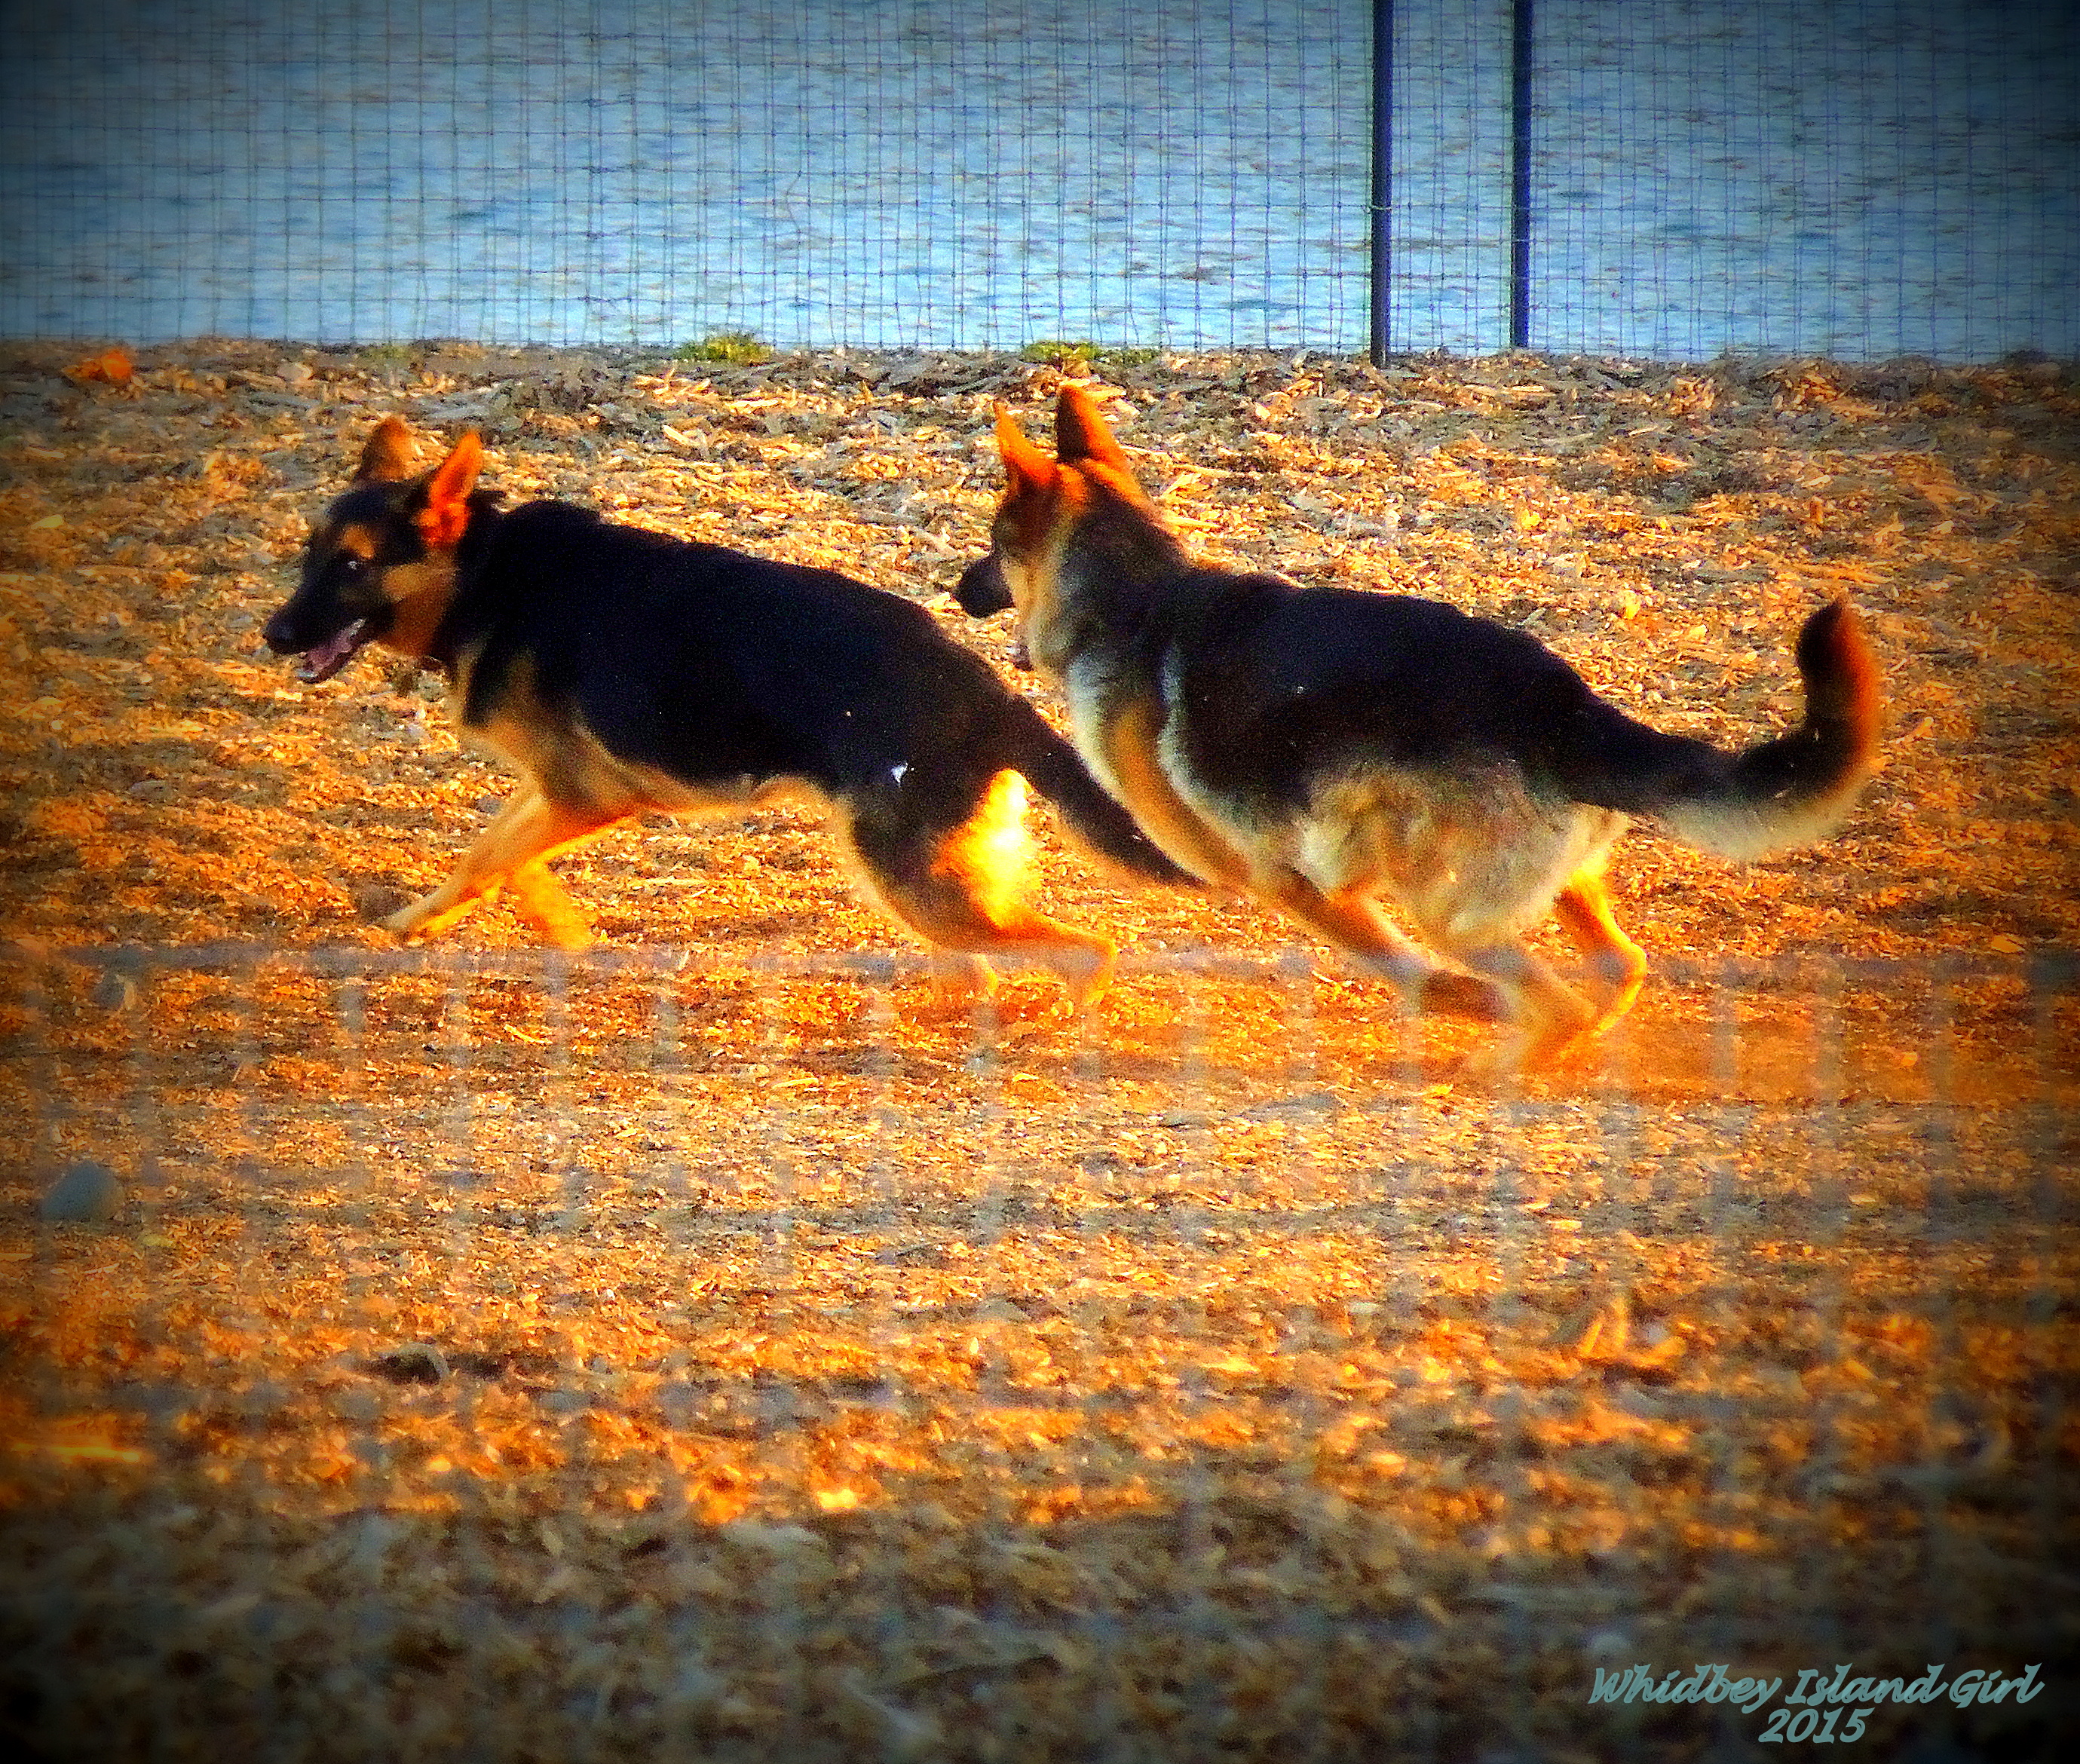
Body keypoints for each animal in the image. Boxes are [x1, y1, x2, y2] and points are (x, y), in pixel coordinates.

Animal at [262, 415, 1195, 1006]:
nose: (271, 635)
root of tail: (987, 694)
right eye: (310, 556)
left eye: (351, 566)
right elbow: (494, 857)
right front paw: (535, 925)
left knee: (1086, 952)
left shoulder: (587, 795)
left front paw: (414, 928)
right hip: (915, 883)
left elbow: (490, 858)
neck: (482, 573)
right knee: (998, 953)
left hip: (913, 885)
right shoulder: (557, 791)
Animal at [954, 385, 1882, 1071]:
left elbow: (1403, 973)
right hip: (1546, 883)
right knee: (1618, 971)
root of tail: (1559, 711)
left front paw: (1459, 1008)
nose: (957, 591)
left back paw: (1502, 1064)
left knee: (1552, 999)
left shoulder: (1297, 886)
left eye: (992, 548)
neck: (1132, 596)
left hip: (1450, 908)